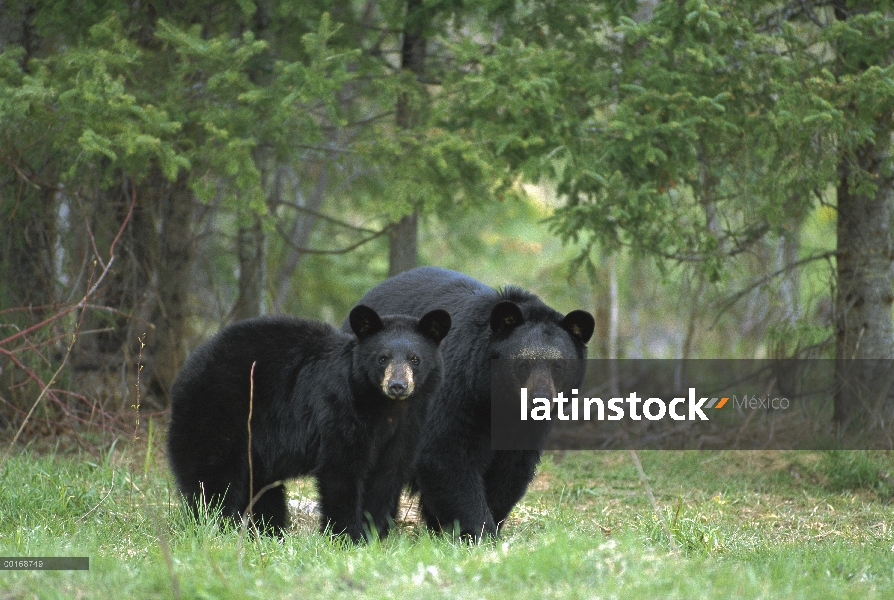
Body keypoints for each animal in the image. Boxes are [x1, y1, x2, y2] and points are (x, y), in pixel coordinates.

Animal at [167, 302, 452, 540]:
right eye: (382, 358)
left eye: (415, 359)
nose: (397, 386)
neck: (384, 407)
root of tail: (188, 369)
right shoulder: (340, 409)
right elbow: (341, 469)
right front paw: (345, 535)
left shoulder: (408, 426)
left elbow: (387, 474)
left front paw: (373, 533)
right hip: (217, 414)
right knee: (212, 478)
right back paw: (216, 527)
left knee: (261, 487)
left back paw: (269, 532)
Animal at [350, 268, 596, 540]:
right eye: (523, 365)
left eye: (558, 366)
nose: (538, 401)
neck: (495, 398)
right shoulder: (456, 391)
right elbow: (445, 454)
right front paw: (479, 530)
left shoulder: (526, 427)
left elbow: (512, 468)